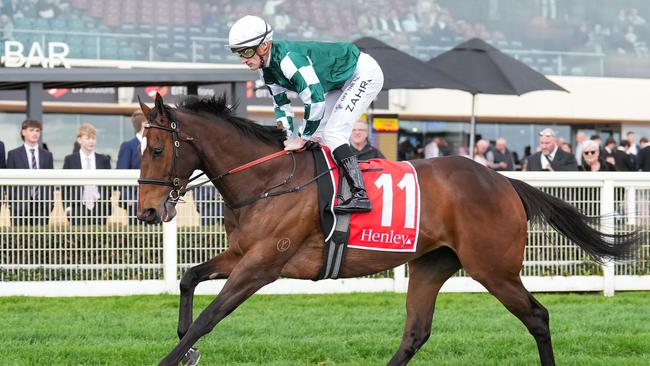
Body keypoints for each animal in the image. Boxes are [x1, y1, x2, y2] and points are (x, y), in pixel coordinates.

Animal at [135, 92, 636, 366]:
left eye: (157, 149)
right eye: (141, 147)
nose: (148, 212)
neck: (267, 179)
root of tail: (505, 181)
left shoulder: (263, 264)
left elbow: (210, 316)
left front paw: (171, 358)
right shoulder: (243, 255)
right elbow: (188, 279)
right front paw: (185, 346)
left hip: (493, 268)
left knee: (538, 316)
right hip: (432, 265)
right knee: (416, 333)